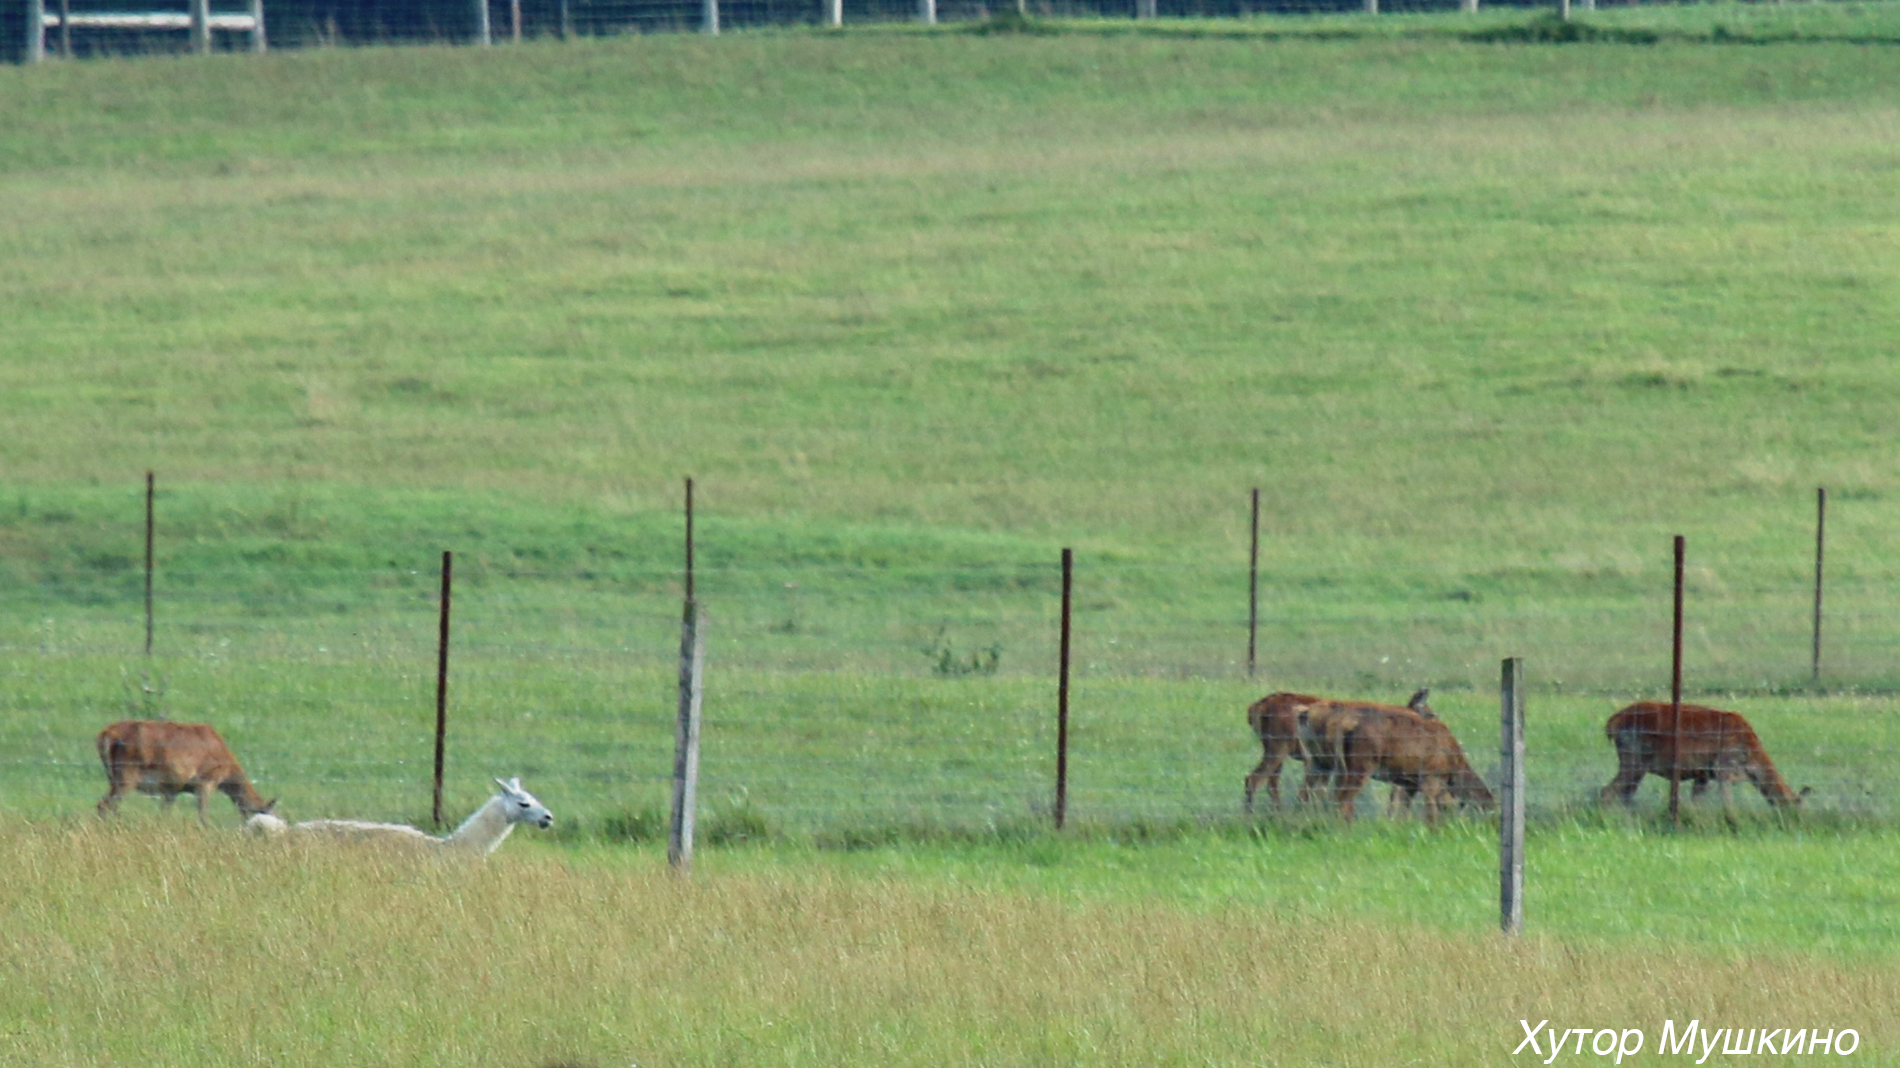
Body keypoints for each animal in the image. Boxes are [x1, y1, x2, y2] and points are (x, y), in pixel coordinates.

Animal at [96, 714, 277, 824]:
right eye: (269, 814)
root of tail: (106, 734)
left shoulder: (171, 789)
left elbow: (163, 814)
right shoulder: (206, 780)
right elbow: (203, 815)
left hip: (113, 777)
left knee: (109, 805)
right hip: (127, 774)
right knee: (104, 805)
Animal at [1596, 699, 1801, 805]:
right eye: (1794, 808)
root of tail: (1611, 724)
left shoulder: (1703, 774)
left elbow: (1696, 802)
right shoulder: (1722, 766)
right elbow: (1726, 800)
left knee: (1625, 793)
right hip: (1634, 759)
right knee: (1607, 791)